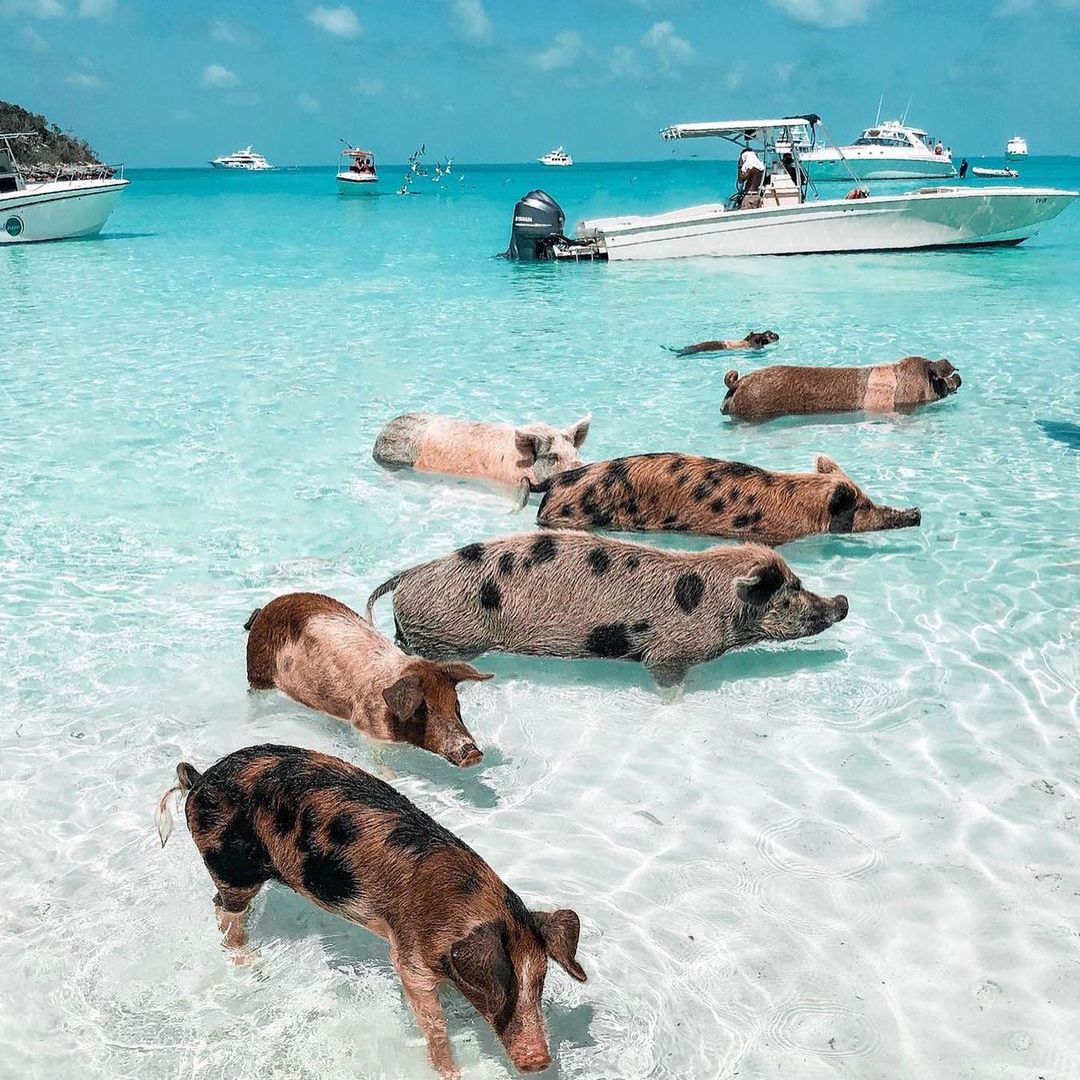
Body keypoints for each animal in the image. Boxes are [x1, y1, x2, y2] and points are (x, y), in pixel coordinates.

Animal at [156, 744, 587, 1077]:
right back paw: (248, 963)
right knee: (225, 910)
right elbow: (432, 1020)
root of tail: (198, 779)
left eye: (541, 980)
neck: (462, 903)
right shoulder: (409, 957)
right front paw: (451, 1072)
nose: (539, 1061)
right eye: (500, 984)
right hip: (231, 866)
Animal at [244, 593, 491, 767]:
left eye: (456, 705)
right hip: (257, 671)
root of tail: (263, 611)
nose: (473, 753)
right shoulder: (367, 728)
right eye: (423, 709)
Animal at [365, 532, 848, 687]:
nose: (843, 602)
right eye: (793, 588)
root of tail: (406, 575)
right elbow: (667, 675)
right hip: (445, 636)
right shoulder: (670, 652)